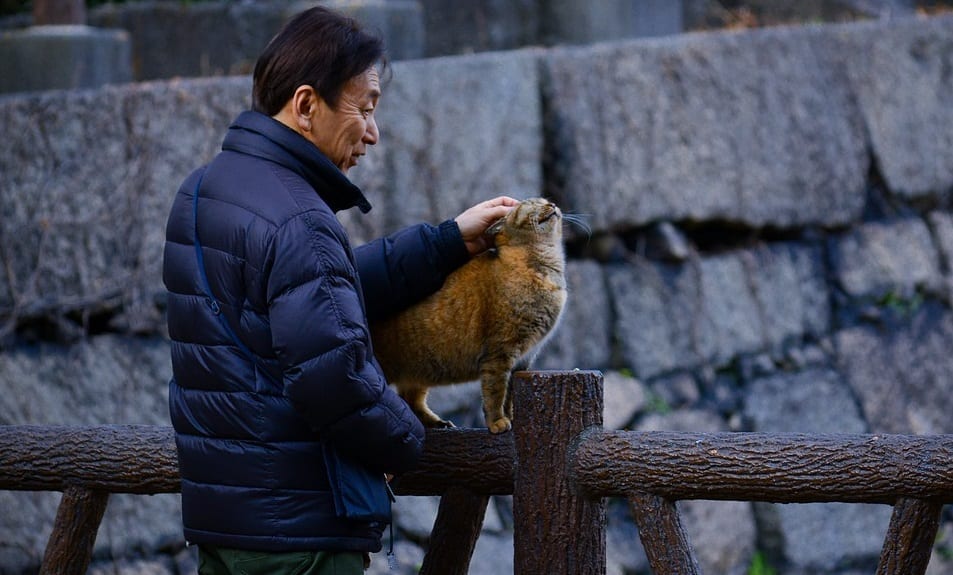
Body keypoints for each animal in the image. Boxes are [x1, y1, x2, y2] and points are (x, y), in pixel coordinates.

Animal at [370, 197, 564, 432]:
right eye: (531, 203)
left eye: (545, 201)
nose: (552, 204)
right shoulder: (499, 352)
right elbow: (495, 392)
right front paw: (497, 422)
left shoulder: (523, 359)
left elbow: (510, 395)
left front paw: (510, 417)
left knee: (411, 399)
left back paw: (437, 423)